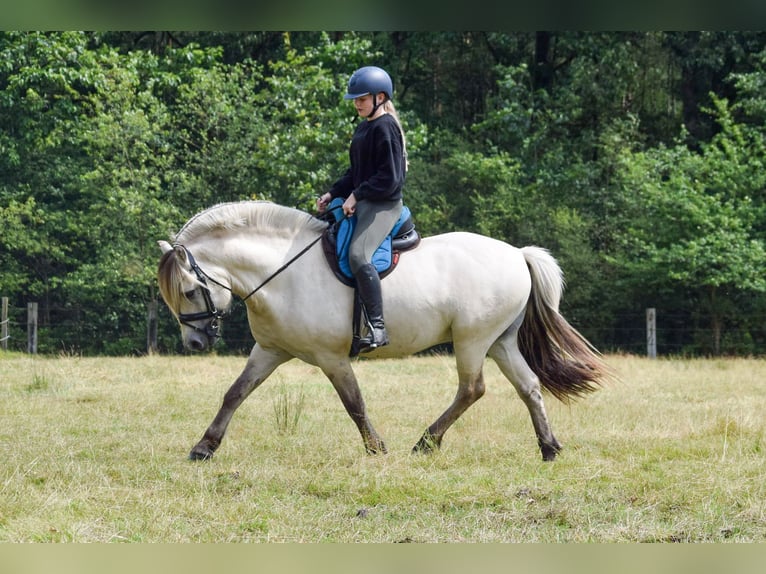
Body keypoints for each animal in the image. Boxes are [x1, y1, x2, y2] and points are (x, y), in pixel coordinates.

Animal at [156, 202, 612, 464]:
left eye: (190, 290)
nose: (194, 343)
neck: (282, 273)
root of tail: (517, 254)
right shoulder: (268, 350)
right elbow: (235, 394)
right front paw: (204, 447)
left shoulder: (332, 358)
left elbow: (353, 403)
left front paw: (376, 448)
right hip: (500, 341)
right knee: (529, 386)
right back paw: (549, 448)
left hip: (472, 340)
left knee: (472, 389)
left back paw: (427, 443)